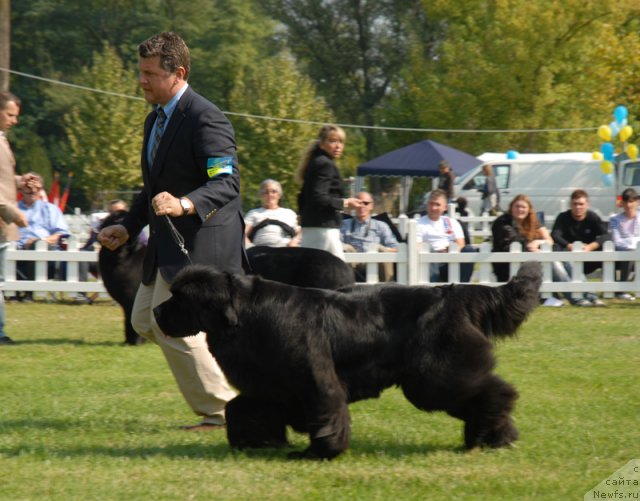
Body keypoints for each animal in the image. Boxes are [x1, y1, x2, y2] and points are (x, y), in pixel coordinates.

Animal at [154, 260, 540, 458]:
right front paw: (254, 442)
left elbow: (326, 409)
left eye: (180, 298)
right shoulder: (268, 385)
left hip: (434, 375)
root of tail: (453, 293)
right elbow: (240, 407)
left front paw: (321, 450)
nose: (157, 312)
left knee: (494, 391)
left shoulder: (314, 378)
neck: (246, 314)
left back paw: (494, 435)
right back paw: (491, 435)